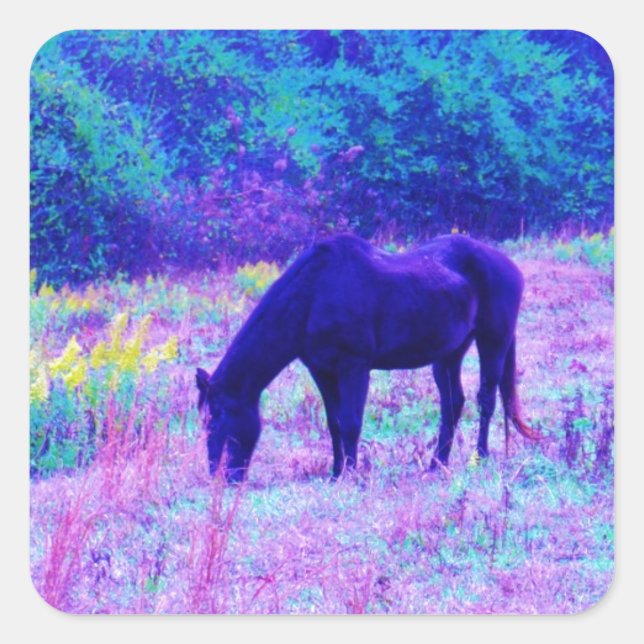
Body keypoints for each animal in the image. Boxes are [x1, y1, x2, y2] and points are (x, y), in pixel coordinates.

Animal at [196, 233, 539, 483]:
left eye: (217, 418)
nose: (219, 476)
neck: (312, 295)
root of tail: (509, 265)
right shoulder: (321, 370)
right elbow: (334, 422)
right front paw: (336, 472)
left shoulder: (354, 367)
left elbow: (350, 422)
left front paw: (351, 474)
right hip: (448, 354)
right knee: (453, 403)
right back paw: (436, 464)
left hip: (493, 341)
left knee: (486, 400)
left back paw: (479, 458)